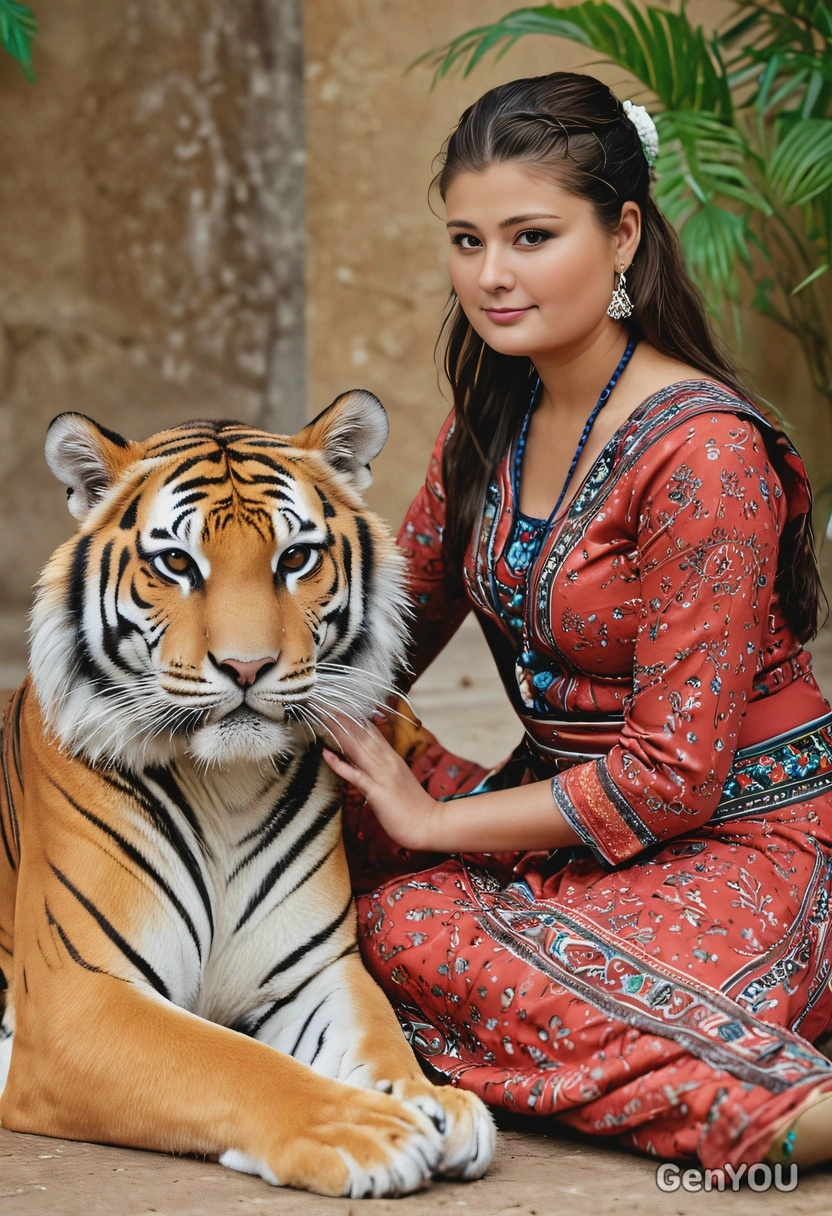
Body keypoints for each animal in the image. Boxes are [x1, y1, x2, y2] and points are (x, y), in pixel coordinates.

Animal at [0, 390, 495, 1198]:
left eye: (295, 558)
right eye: (176, 562)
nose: (246, 666)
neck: (225, 787)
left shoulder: (315, 972)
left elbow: (380, 1040)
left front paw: (432, 1101)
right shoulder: (79, 996)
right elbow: (233, 1063)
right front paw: (366, 1131)